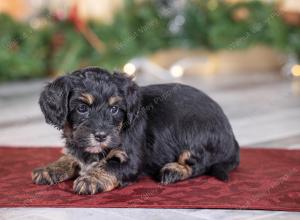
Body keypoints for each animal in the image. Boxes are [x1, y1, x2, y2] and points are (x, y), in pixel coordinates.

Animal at [32, 66, 239, 194]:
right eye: (82, 108)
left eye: (114, 109)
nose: (101, 136)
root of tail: (232, 137)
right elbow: (71, 157)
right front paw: (50, 169)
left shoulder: (130, 160)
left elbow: (109, 166)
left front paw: (92, 179)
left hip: (193, 132)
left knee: (199, 163)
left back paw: (174, 170)